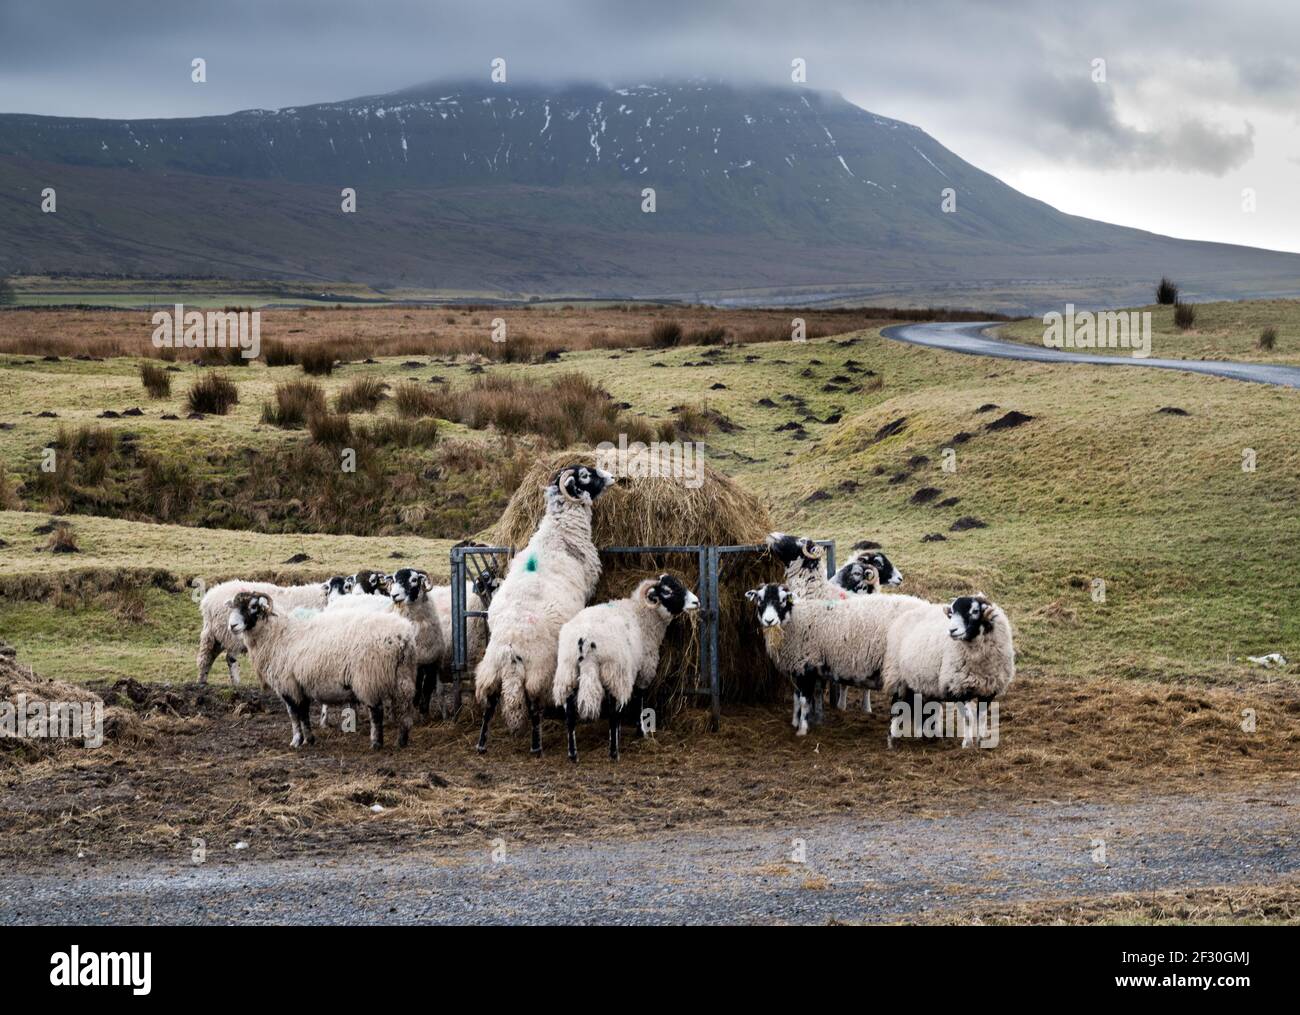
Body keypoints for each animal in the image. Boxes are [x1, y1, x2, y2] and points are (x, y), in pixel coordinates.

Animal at [197, 574, 338, 686]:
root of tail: (207, 601)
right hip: (232, 635)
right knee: (230, 657)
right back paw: (236, 684)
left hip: (216, 635)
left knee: (207, 657)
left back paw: (202, 681)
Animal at [223, 590, 416, 748]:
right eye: (233, 606)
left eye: (253, 606)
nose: (232, 626)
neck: (279, 635)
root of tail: (402, 636)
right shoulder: (300, 685)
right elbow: (304, 714)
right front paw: (309, 739)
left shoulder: (288, 684)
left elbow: (294, 715)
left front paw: (296, 741)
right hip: (404, 675)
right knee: (405, 707)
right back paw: (402, 740)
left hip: (368, 677)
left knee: (376, 711)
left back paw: (376, 743)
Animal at [475, 462, 616, 753]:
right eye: (586, 475)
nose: (612, 477)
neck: (561, 529)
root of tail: (511, 649)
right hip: (538, 670)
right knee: (532, 702)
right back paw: (536, 745)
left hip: (490, 669)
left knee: (490, 701)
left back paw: (482, 744)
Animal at [556, 574, 707, 753]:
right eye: (667, 591)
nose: (696, 602)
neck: (642, 613)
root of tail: (585, 638)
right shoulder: (645, 667)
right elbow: (639, 698)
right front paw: (641, 731)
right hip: (615, 671)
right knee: (614, 709)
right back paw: (614, 747)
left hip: (567, 671)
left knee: (570, 713)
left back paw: (573, 752)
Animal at [883, 590, 1013, 748]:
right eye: (951, 613)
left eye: (975, 611)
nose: (952, 630)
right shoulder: (958, 686)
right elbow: (969, 717)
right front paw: (967, 743)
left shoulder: (989, 688)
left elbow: (981, 716)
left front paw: (982, 739)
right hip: (899, 677)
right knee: (897, 706)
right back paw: (891, 739)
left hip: (921, 682)